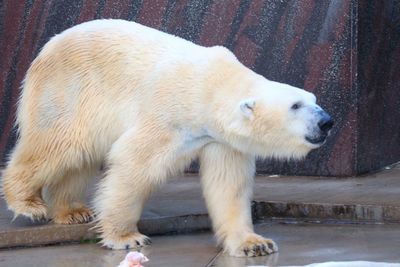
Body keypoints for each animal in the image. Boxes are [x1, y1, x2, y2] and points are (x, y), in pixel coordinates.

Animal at [1, 19, 332, 258]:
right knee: (59, 144)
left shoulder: (222, 140)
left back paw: (72, 211)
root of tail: (46, 49)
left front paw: (254, 243)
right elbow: (133, 163)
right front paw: (126, 237)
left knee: (78, 158)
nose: (326, 122)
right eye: (295, 106)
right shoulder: (167, 113)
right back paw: (28, 203)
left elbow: (229, 185)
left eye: (313, 99)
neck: (211, 86)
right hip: (68, 91)